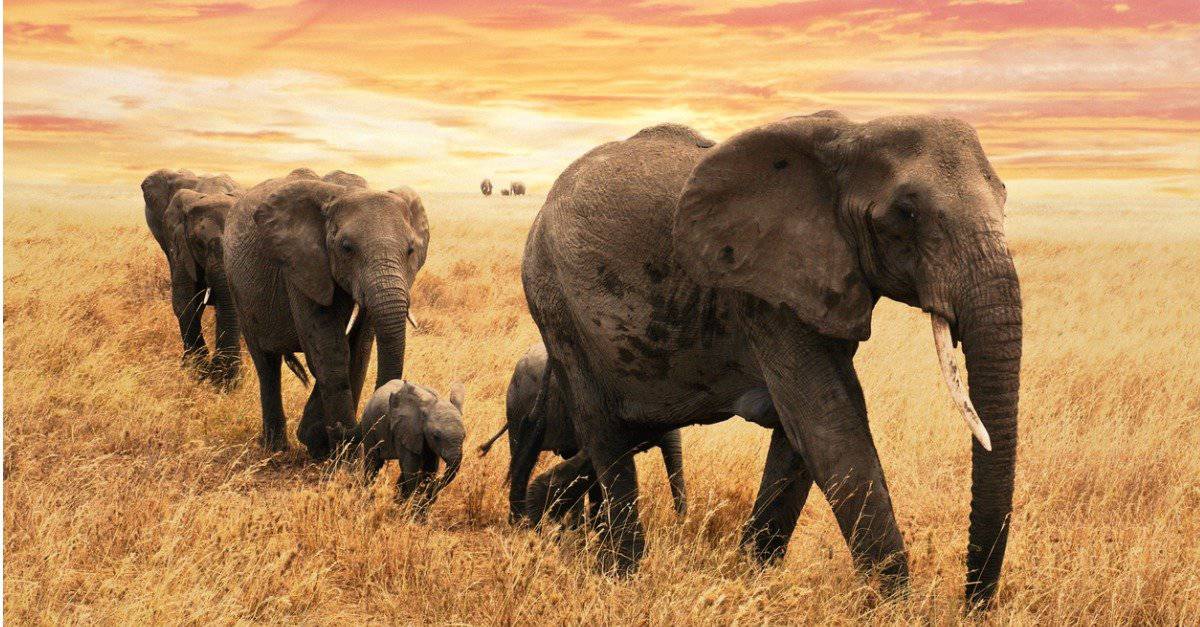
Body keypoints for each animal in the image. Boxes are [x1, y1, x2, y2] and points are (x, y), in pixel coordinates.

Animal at [223, 170, 429, 457]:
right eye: (346, 248)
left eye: (410, 250)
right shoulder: (301, 265)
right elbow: (329, 349)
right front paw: (341, 454)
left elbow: (359, 348)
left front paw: (321, 442)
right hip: (237, 289)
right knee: (266, 364)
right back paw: (276, 449)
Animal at [360, 379, 466, 516]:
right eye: (436, 436)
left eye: (464, 436)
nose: (434, 488)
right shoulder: (406, 430)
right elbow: (411, 469)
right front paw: (412, 510)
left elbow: (430, 468)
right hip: (369, 426)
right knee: (373, 463)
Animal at [519, 112, 1021, 609]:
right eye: (905, 213)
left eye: (1005, 199)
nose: (972, 606)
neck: (854, 133)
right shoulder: (764, 291)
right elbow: (828, 424)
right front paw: (895, 608)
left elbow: (805, 432)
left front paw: (751, 578)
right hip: (556, 306)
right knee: (605, 434)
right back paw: (623, 576)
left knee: (620, 436)